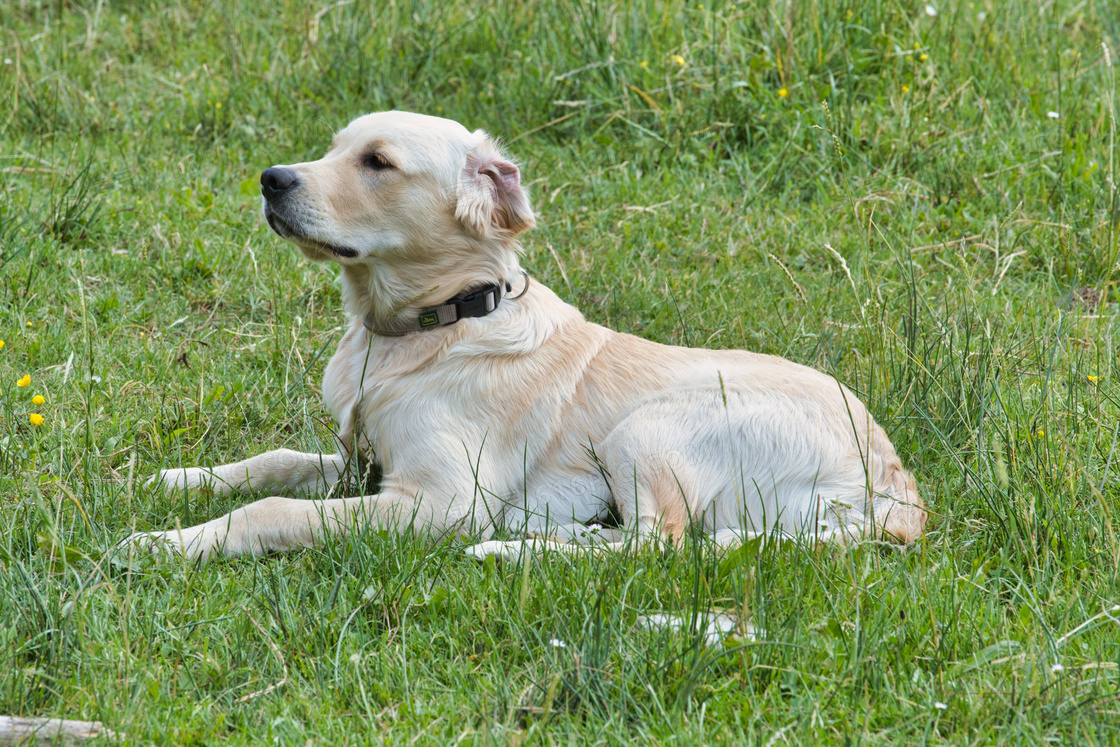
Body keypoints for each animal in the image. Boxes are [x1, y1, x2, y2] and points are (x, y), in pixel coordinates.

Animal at [127, 108, 922, 557]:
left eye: (378, 162)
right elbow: (276, 462)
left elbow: (273, 510)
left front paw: (168, 541)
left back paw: (510, 552)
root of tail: (896, 483)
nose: (271, 179)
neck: (428, 327)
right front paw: (171, 480)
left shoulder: (440, 500)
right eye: (332, 149)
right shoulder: (363, 462)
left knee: (661, 547)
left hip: (650, 426)